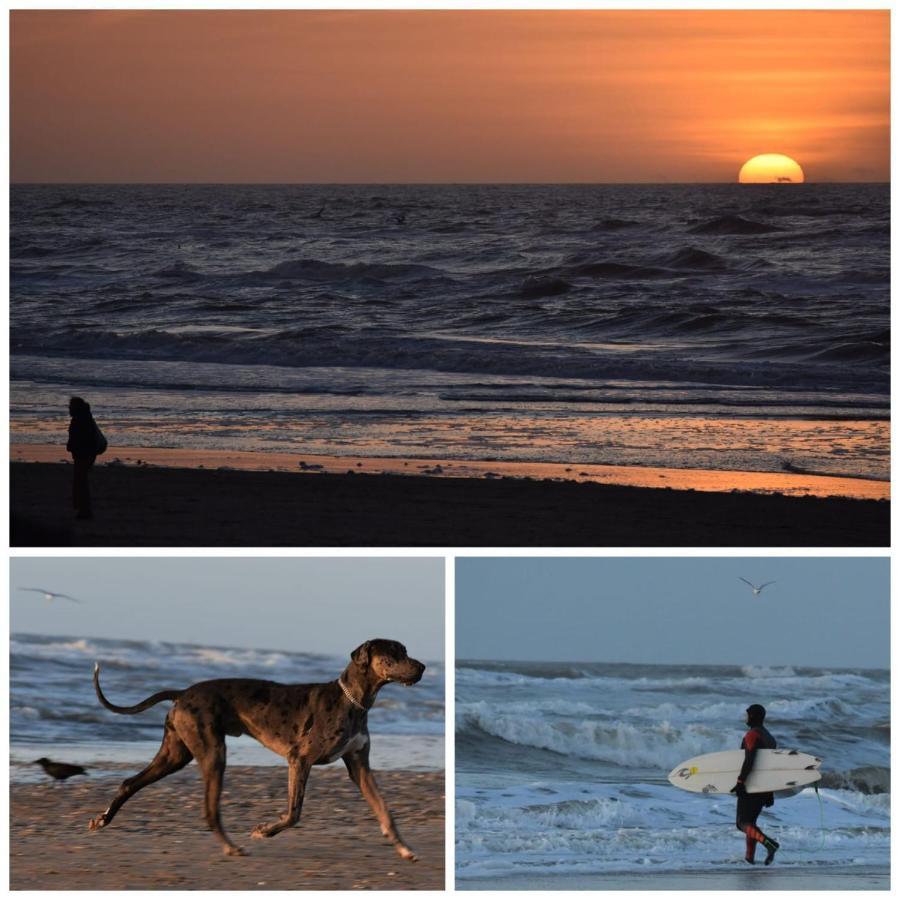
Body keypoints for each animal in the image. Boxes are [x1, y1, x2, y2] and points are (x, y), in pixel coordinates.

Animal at [89, 640, 428, 856]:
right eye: (394, 653)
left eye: (405, 650)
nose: (423, 666)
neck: (353, 700)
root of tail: (183, 693)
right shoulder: (299, 760)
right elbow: (294, 813)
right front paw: (265, 830)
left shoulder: (360, 767)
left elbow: (385, 810)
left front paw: (404, 848)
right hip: (212, 754)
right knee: (209, 810)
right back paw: (231, 847)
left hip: (175, 753)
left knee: (130, 782)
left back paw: (103, 819)